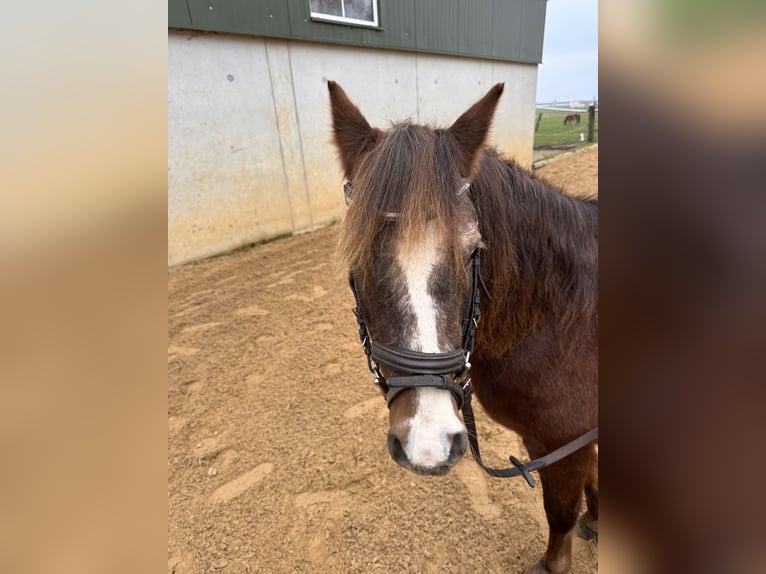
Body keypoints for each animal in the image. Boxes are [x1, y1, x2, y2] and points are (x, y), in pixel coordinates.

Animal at [330, 82, 600, 574]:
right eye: (356, 262)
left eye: (473, 250)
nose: (428, 442)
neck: (560, 318)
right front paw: (597, 517)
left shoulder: (564, 439)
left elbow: (560, 512)